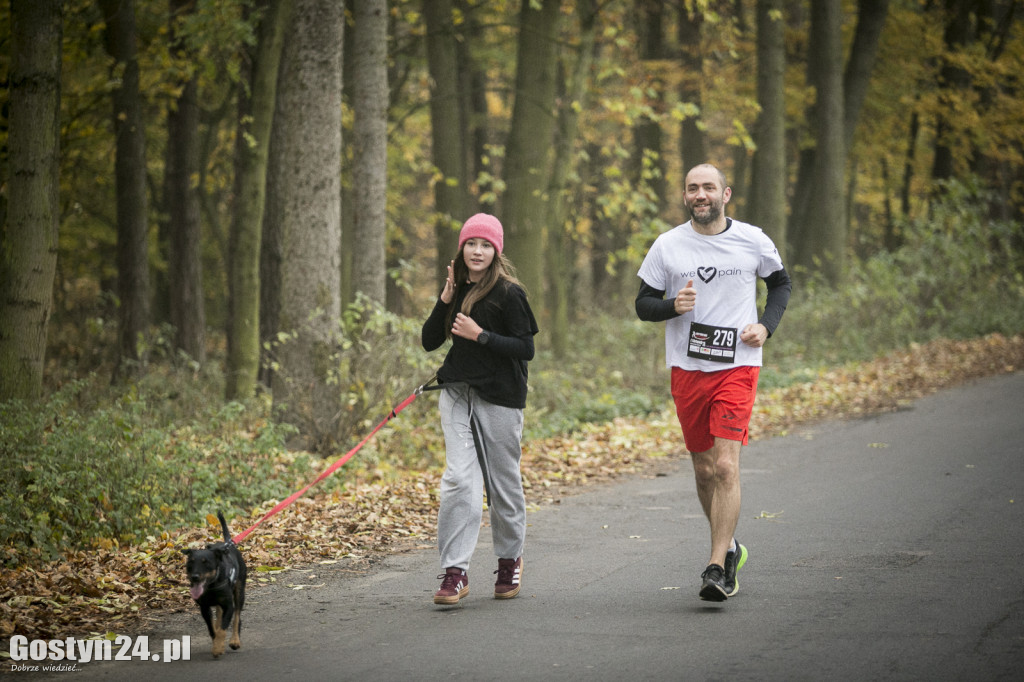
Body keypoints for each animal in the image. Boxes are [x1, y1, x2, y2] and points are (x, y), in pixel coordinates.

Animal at [182, 507, 245, 655]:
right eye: (190, 563)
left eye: (206, 563)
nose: (195, 576)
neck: (211, 587)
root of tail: (228, 544)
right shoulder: (204, 608)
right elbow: (212, 629)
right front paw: (216, 642)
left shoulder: (229, 606)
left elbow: (223, 629)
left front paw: (217, 648)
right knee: (219, 615)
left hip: (240, 591)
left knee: (237, 617)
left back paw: (235, 641)